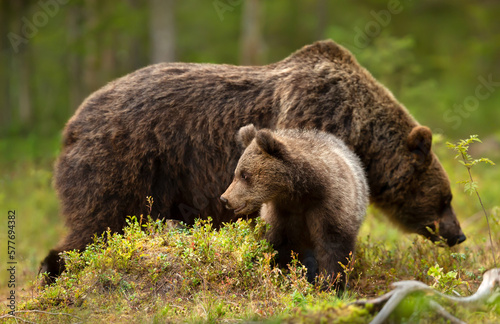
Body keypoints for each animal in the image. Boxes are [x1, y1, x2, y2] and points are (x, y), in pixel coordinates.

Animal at [41, 39, 466, 280]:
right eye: (445, 198)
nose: (458, 234)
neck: (360, 130)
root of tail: (71, 123)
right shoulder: (311, 117)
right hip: (124, 163)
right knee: (98, 224)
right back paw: (55, 273)